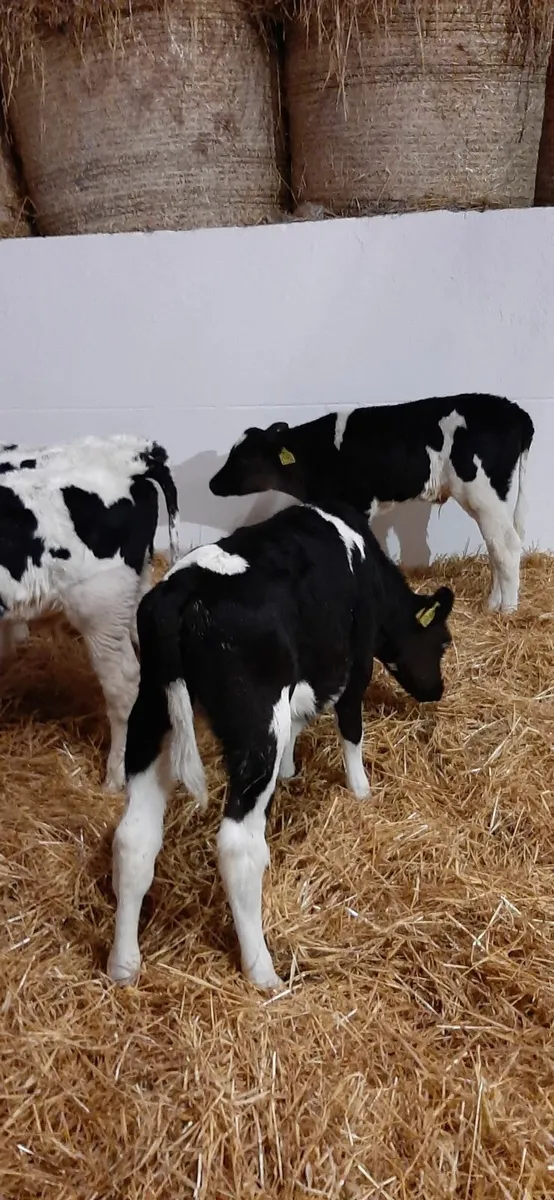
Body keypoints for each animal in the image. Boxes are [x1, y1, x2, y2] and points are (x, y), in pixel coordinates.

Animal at [107, 500, 453, 991]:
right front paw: (362, 791)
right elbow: (351, 728)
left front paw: (292, 770)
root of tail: (181, 593)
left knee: (134, 838)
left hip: (150, 716)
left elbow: (300, 723)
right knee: (238, 847)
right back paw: (263, 971)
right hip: (255, 729)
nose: (436, 691)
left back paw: (123, 966)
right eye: (442, 642)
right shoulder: (356, 661)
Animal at [208, 393, 534, 614]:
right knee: (496, 545)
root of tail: (514, 410)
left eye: (244, 458)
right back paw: (493, 604)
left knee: (507, 546)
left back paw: (507, 611)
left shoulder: (357, 503)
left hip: (483, 492)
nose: (212, 483)